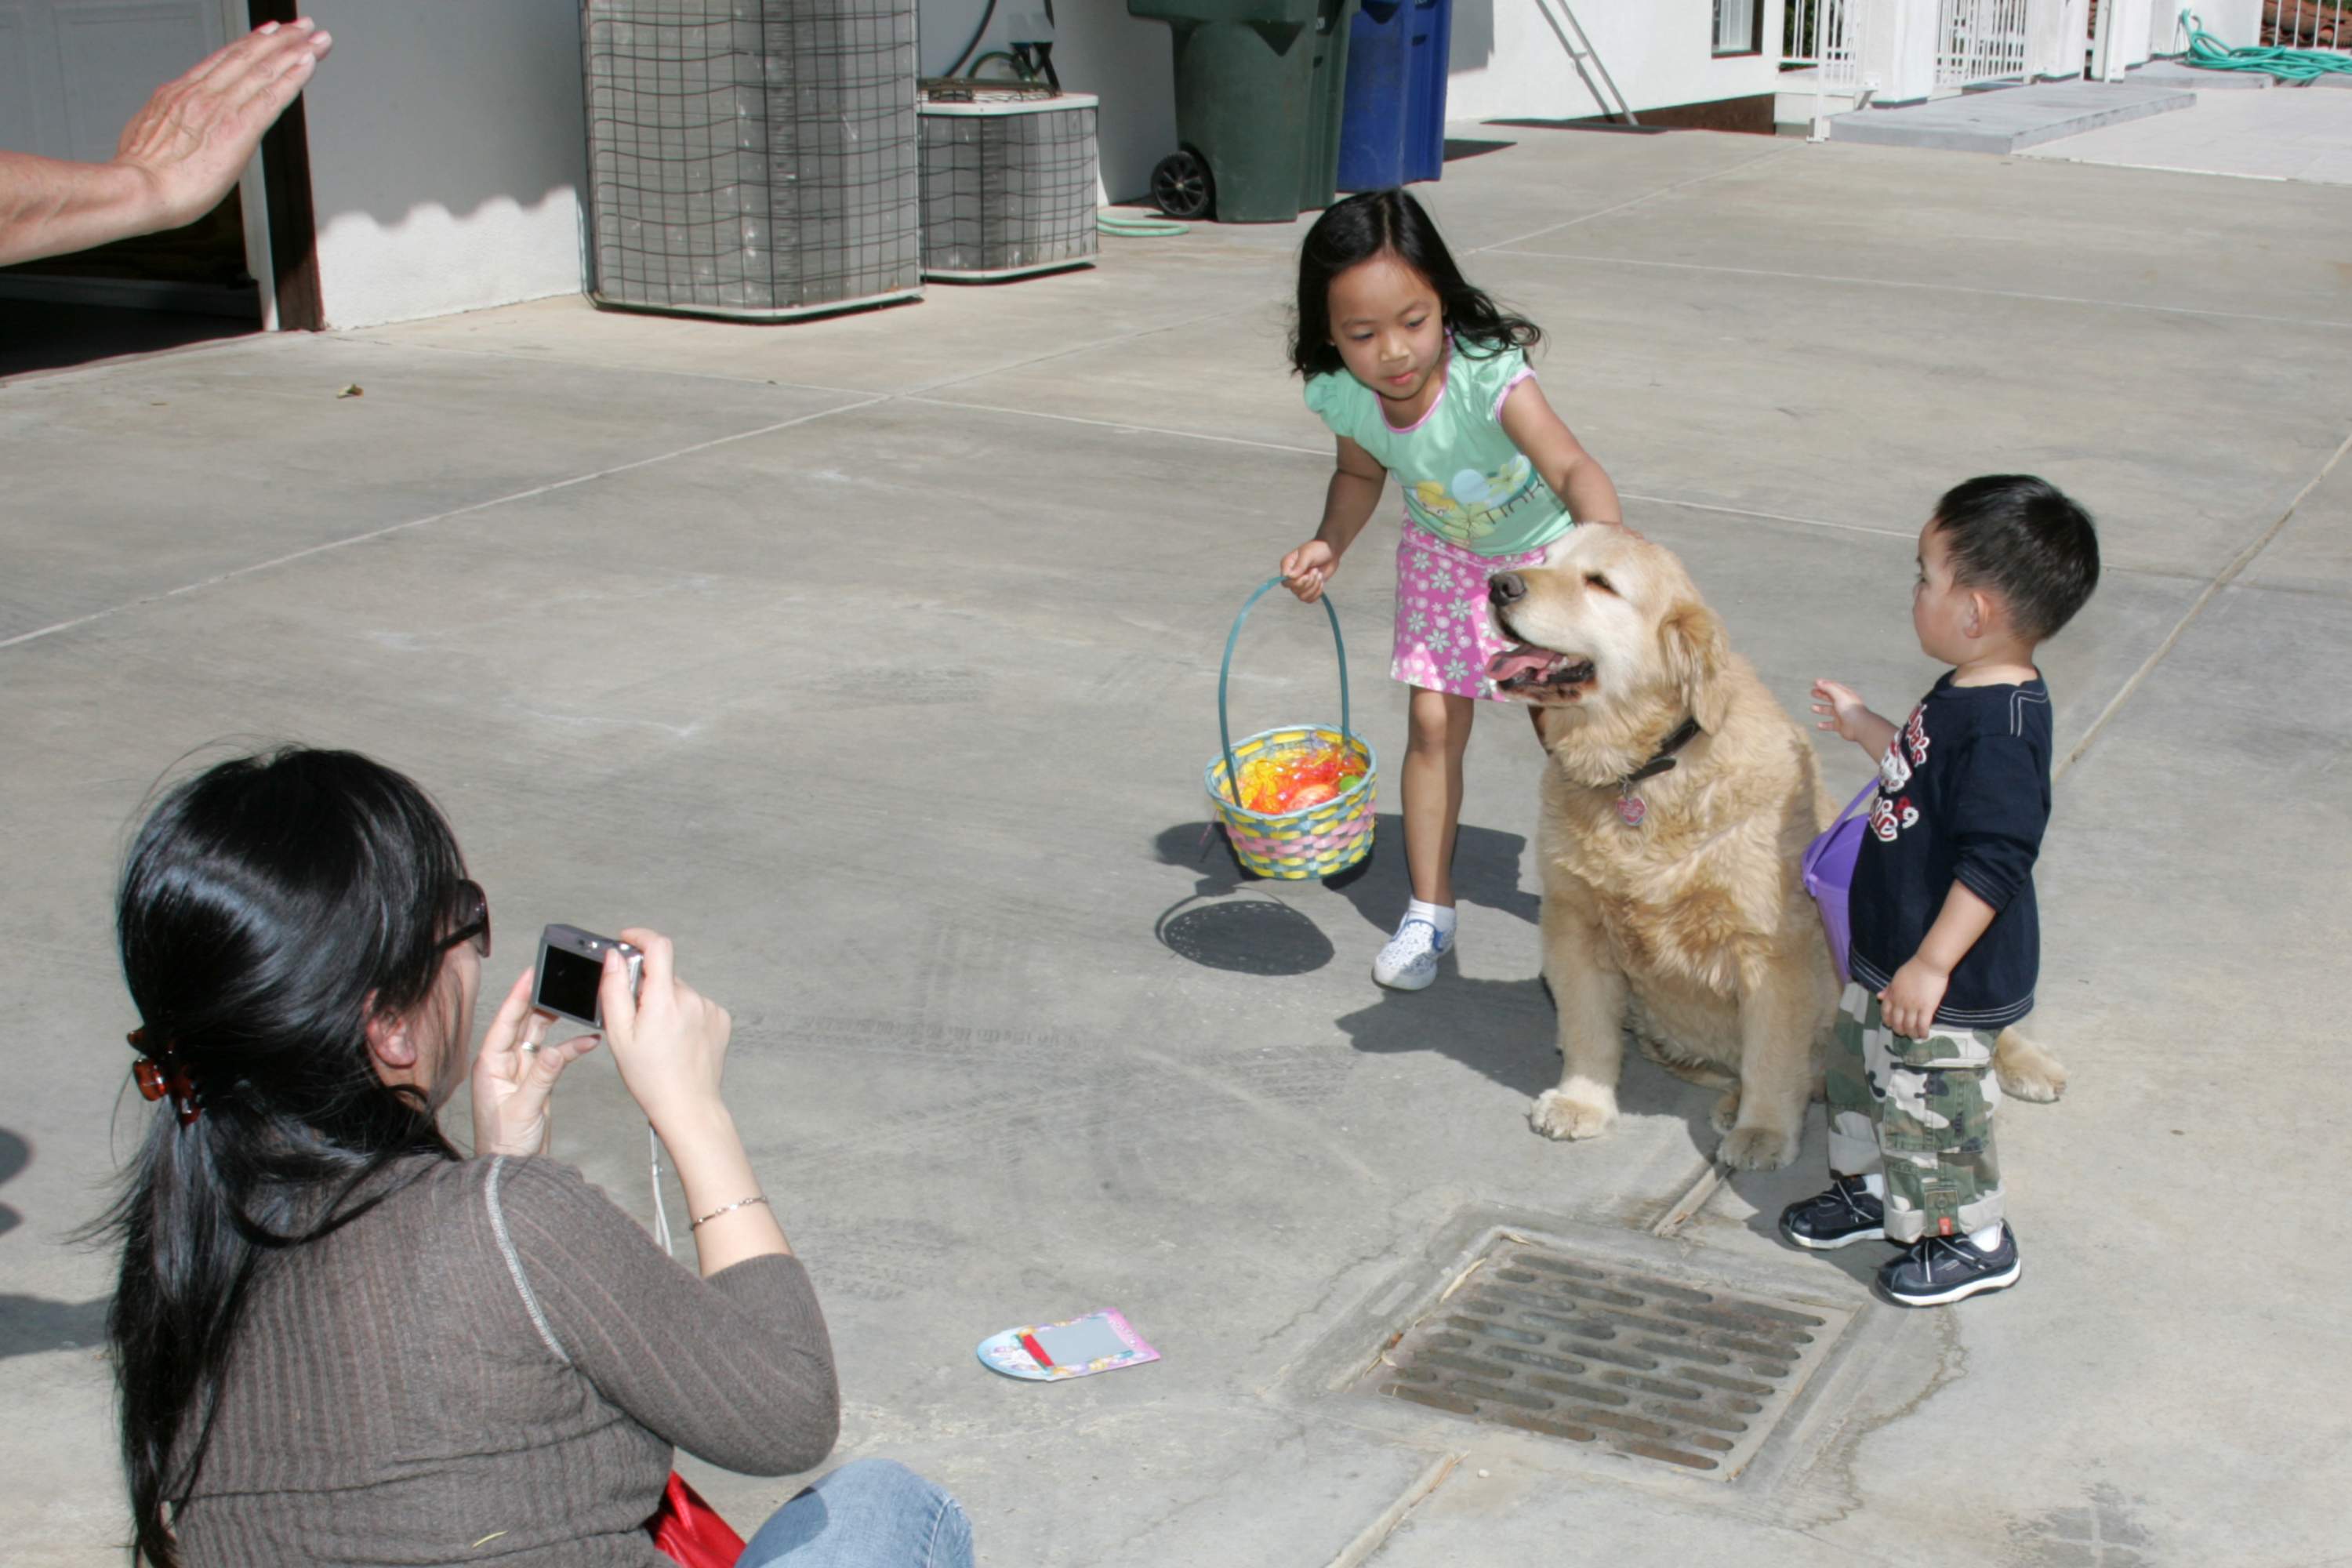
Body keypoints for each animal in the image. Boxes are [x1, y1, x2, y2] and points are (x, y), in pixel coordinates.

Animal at [1485, 525, 2065, 1171]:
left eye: (1600, 583)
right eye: (1544, 559)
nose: (1499, 585)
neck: (1650, 767)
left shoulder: (1769, 949)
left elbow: (1772, 1051)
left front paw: (1763, 1129)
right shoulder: (1574, 922)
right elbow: (1588, 1026)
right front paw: (1582, 1102)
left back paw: (2029, 1063)